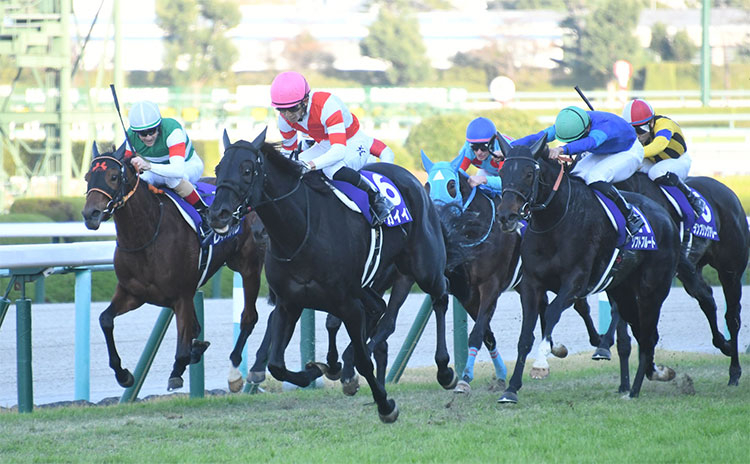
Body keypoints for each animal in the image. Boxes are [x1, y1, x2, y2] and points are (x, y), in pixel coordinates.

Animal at [82, 142, 266, 392]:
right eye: (87, 177)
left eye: (113, 176)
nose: (90, 214)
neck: (146, 237)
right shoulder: (132, 293)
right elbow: (105, 320)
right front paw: (123, 374)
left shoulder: (182, 296)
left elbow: (183, 347)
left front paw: (178, 370)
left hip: (249, 267)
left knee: (249, 316)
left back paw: (236, 374)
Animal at [208, 129, 457, 423]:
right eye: (218, 168)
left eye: (247, 170)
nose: (218, 214)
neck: (300, 231)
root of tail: (414, 181)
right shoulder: (289, 303)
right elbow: (277, 364)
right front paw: (316, 370)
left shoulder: (346, 304)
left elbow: (362, 359)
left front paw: (384, 405)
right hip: (370, 284)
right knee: (379, 309)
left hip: (421, 267)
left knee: (439, 295)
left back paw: (445, 371)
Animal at [422, 150, 603, 394]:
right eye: (427, 185)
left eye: (451, 185)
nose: (437, 216)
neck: (474, 233)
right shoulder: (465, 292)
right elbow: (486, 334)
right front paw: (499, 374)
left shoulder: (491, 285)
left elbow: (477, 333)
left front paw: (465, 378)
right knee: (545, 306)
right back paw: (554, 348)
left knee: (579, 305)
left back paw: (596, 343)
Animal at [495, 135, 681, 402]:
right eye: (502, 173)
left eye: (529, 173)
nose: (505, 217)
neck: (556, 220)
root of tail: (666, 217)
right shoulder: (531, 284)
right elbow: (525, 335)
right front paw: (511, 389)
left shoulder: (575, 281)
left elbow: (551, 313)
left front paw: (541, 364)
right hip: (623, 291)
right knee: (640, 332)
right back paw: (649, 375)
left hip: (652, 290)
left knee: (648, 335)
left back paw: (636, 389)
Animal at [594, 172, 749, 388]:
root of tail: (729, 192)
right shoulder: (615, 276)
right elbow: (624, 329)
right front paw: (625, 382)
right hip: (694, 269)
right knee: (707, 299)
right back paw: (723, 344)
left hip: (730, 270)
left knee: (732, 317)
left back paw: (734, 372)